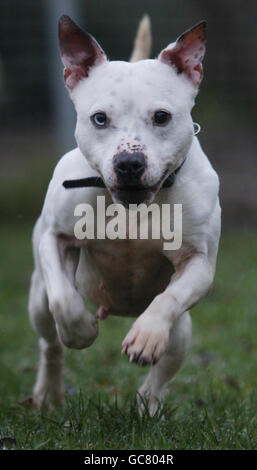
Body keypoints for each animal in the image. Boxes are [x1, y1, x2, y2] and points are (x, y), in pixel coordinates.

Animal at [28, 13, 220, 414]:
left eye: (162, 117)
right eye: (99, 119)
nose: (129, 162)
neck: (132, 207)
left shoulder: (199, 261)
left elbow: (168, 298)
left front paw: (145, 337)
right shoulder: (56, 238)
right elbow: (63, 300)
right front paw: (81, 331)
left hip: (182, 333)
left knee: (162, 370)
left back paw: (146, 407)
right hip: (37, 302)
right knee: (49, 343)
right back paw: (49, 394)